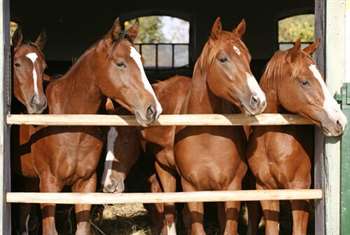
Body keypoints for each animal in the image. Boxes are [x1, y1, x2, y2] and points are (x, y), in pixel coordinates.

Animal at [15, 18, 162, 235]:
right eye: (120, 63)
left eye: (142, 62)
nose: (153, 109)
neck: (71, 127)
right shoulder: (49, 185)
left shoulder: (86, 184)